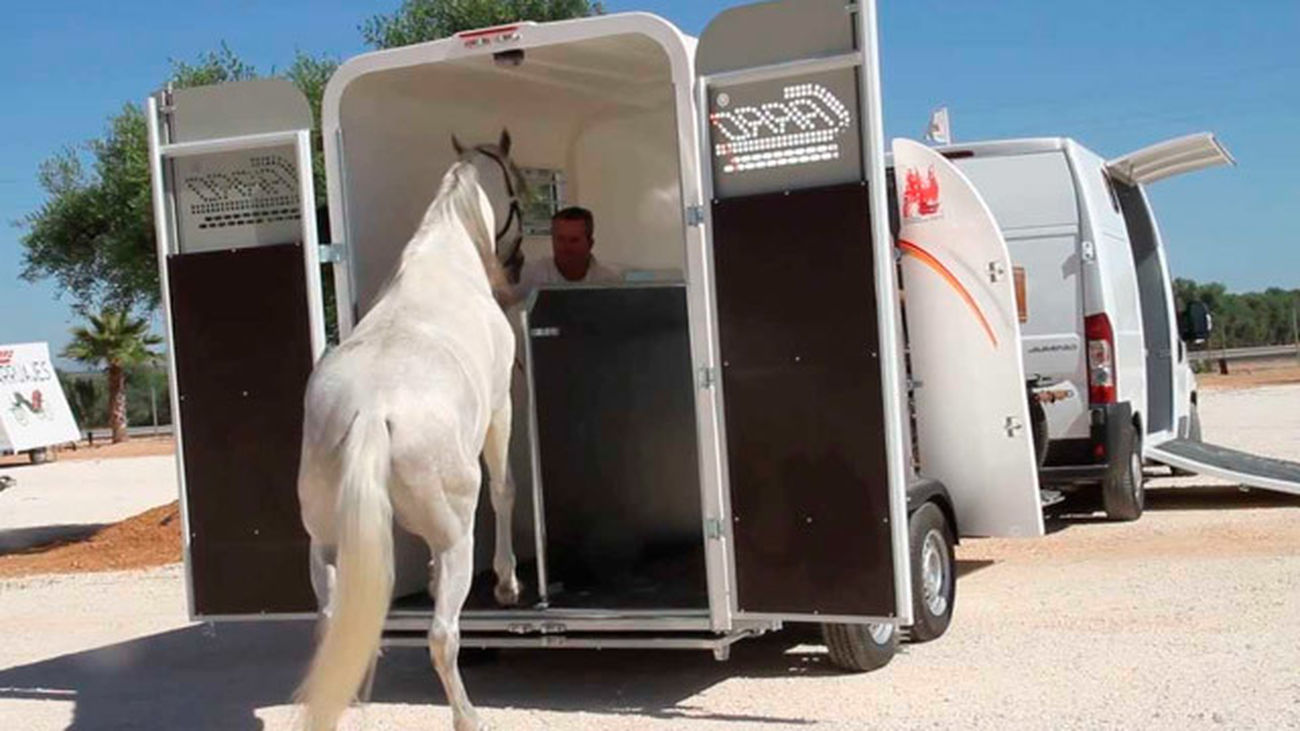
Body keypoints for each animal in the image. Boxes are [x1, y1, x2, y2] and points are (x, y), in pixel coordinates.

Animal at [294, 130, 526, 731]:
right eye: (518, 183)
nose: (515, 263)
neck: (443, 257)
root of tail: (373, 411)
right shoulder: (501, 408)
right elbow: (505, 489)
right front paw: (509, 582)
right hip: (456, 536)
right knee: (443, 635)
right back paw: (468, 716)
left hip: (326, 542)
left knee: (331, 625)